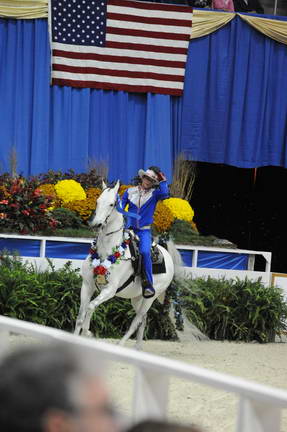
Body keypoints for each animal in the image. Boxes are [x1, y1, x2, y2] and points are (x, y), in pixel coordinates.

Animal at [73, 181, 182, 350]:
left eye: (112, 204)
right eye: (97, 201)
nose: (96, 224)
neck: (106, 252)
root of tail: (167, 254)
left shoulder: (109, 290)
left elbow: (91, 307)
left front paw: (88, 333)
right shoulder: (87, 286)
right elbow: (80, 316)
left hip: (150, 297)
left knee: (136, 321)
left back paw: (120, 344)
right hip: (136, 298)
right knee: (143, 320)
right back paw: (137, 348)